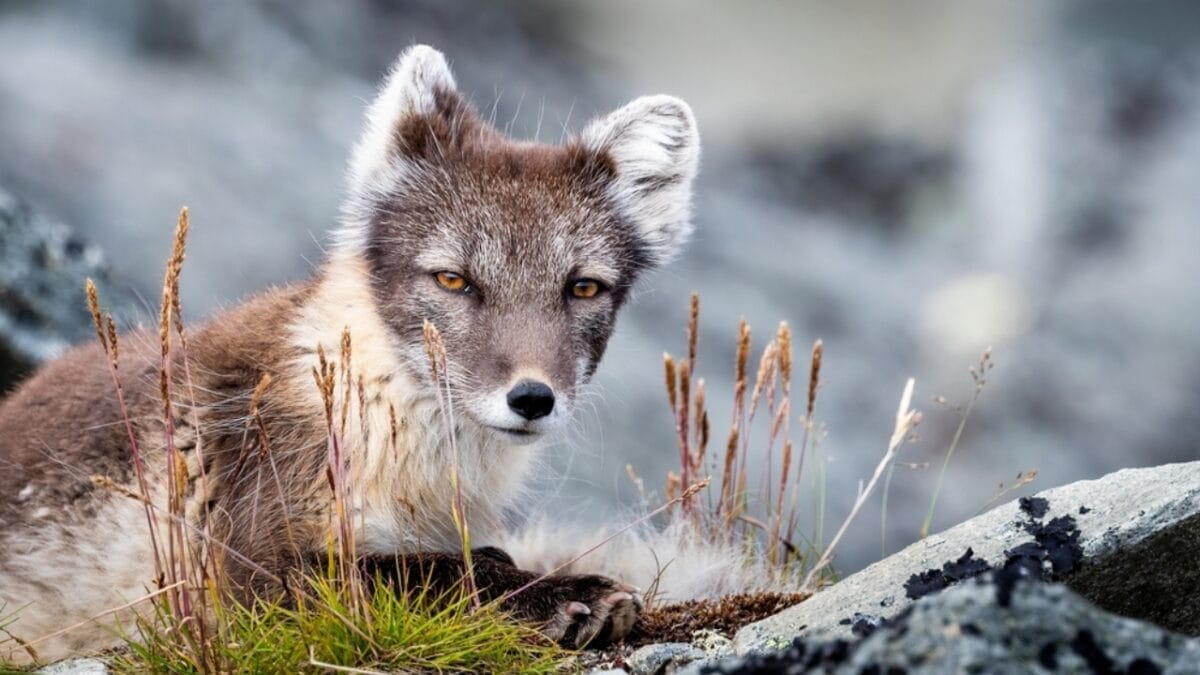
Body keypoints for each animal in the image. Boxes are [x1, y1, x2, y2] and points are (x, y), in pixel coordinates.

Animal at [0, 45, 700, 664]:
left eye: (583, 287)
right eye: (452, 279)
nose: (532, 398)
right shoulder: (249, 568)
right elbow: (427, 575)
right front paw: (556, 594)